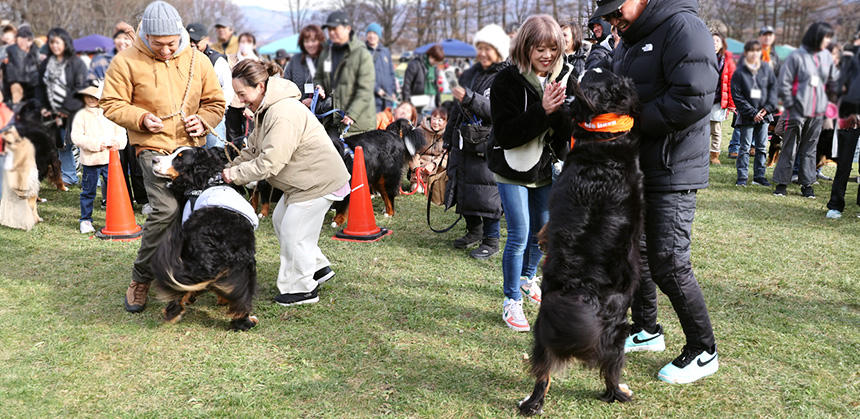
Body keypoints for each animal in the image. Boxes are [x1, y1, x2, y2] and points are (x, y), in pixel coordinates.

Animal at [149, 148, 260, 332]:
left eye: (179, 159)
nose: (154, 160)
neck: (208, 181)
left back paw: (172, 313)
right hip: (246, 268)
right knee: (242, 301)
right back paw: (246, 321)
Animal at [516, 69, 644, 416]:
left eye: (595, 74)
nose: (579, 65)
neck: (605, 135)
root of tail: (583, 288)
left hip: (545, 331)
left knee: (543, 373)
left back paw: (530, 403)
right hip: (616, 333)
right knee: (611, 372)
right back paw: (618, 393)